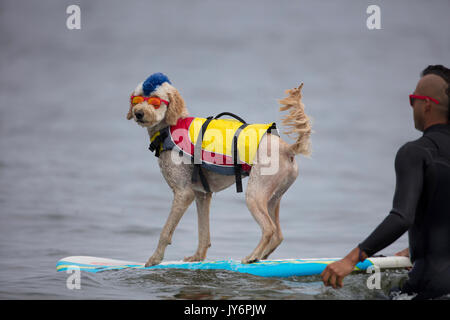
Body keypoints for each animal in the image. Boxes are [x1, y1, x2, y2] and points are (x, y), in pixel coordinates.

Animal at [125, 73, 312, 268]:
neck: (169, 128)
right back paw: (261, 256)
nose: (138, 113)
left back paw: (252, 256)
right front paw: (197, 257)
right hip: (273, 197)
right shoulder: (202, 194)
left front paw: (155, 259)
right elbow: (203, 232)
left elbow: (165, 231)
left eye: (155, 100)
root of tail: (288, 149)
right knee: (278, 235)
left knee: (269, 229)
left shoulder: (183, 193)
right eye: (137, 99)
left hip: (255, 194)